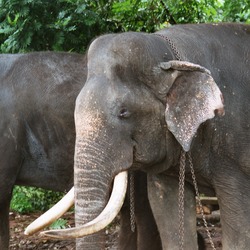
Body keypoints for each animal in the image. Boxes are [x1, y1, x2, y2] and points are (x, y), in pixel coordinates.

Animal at [41, 23, 250, 250]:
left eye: (123, 112)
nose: (48, 233)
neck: (170, 53)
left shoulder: (233, 152)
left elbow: (238, 224)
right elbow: (167, 211)